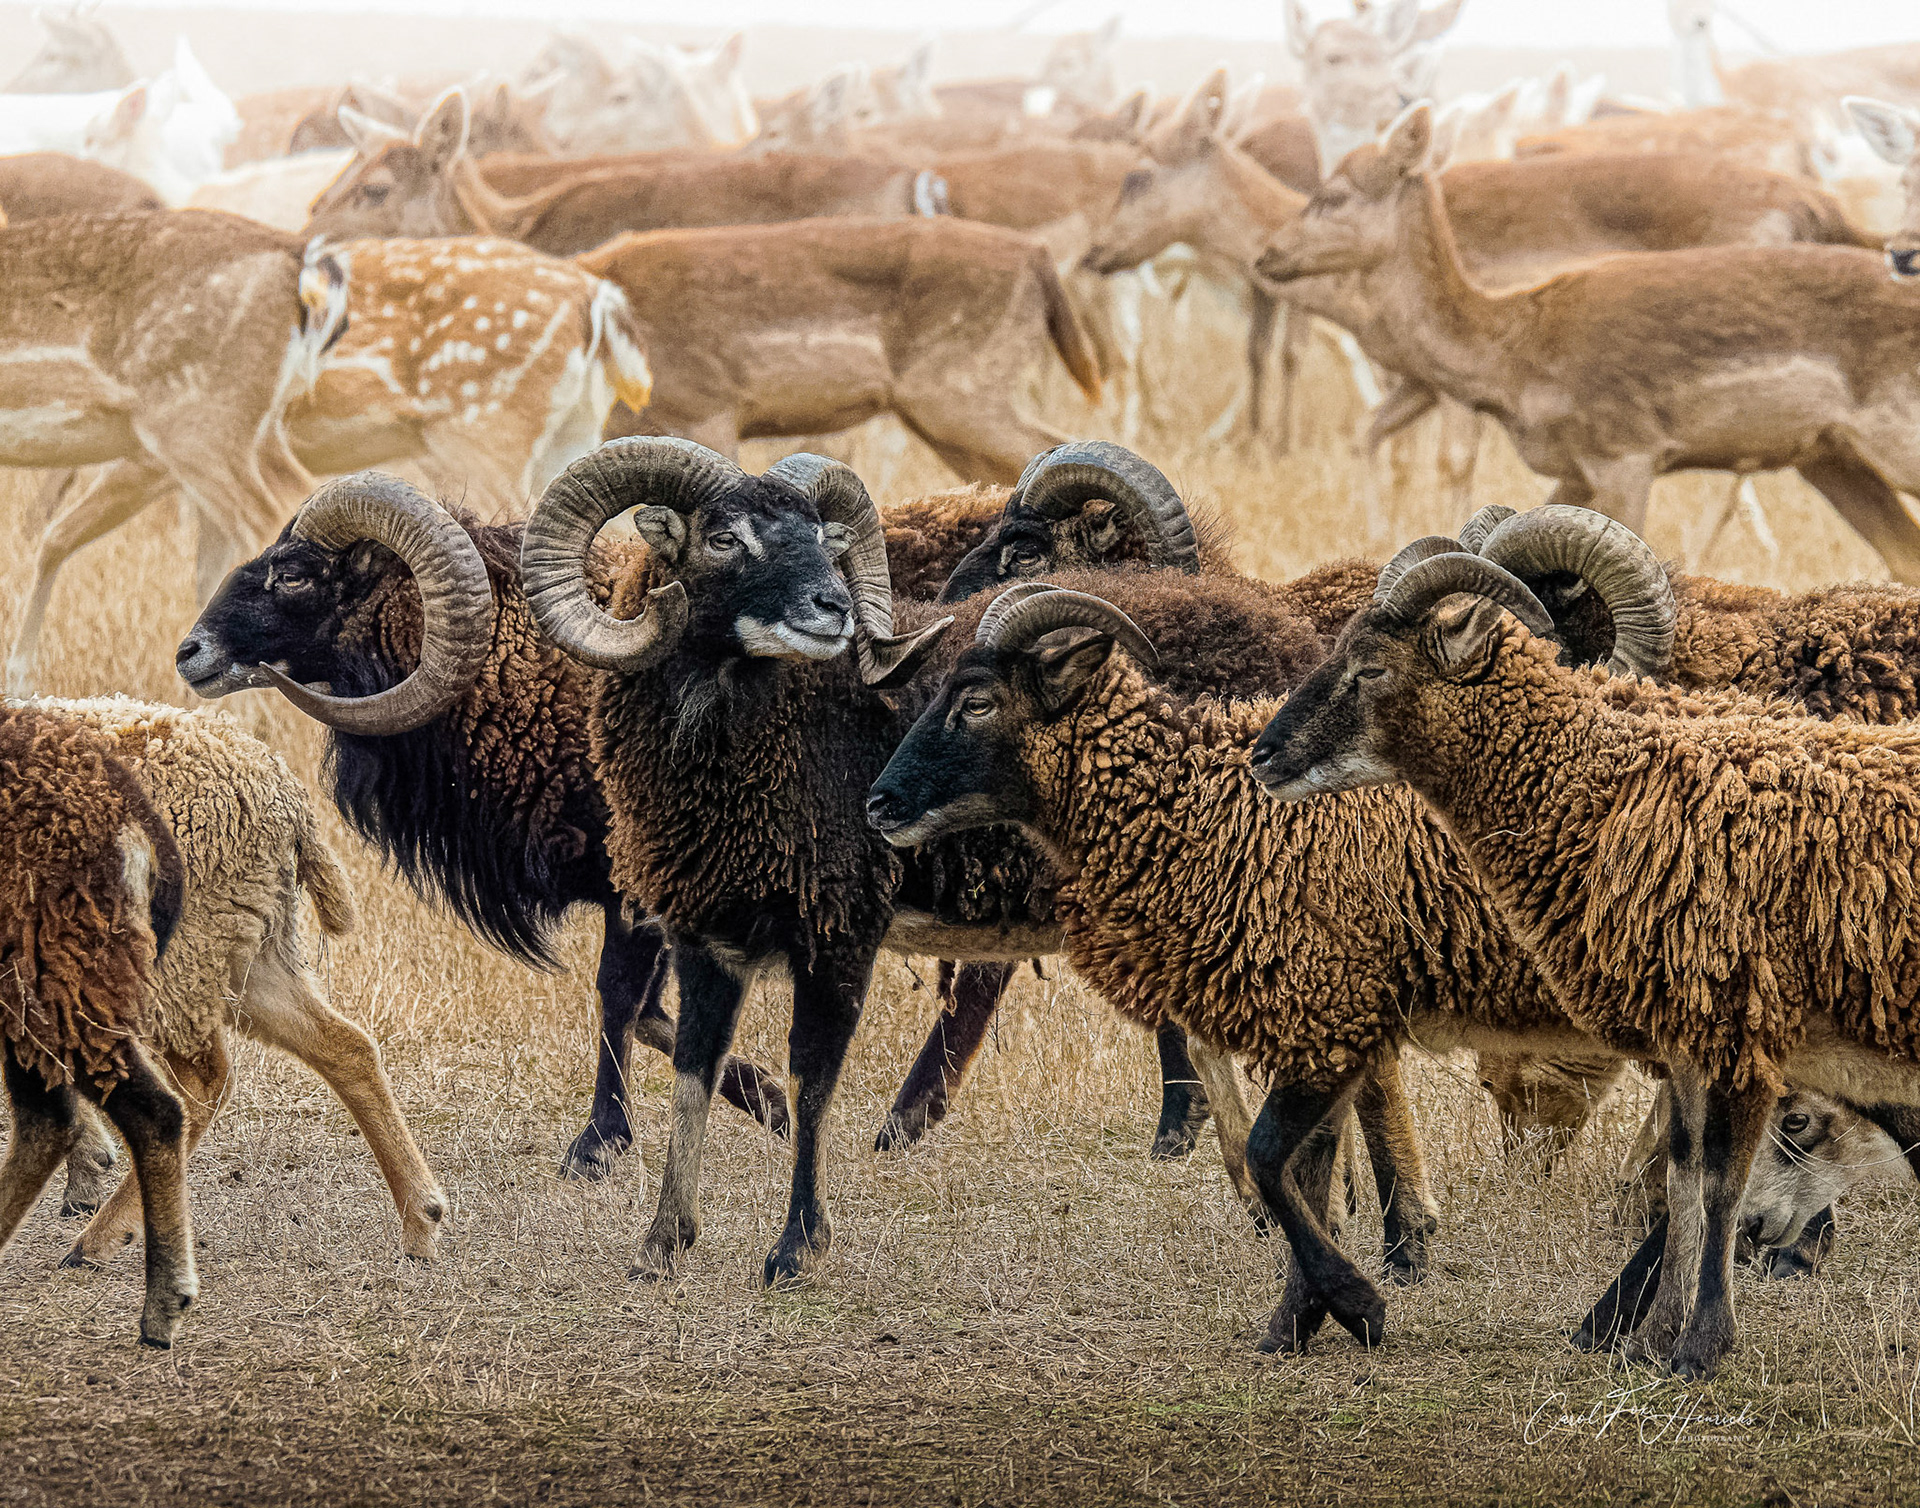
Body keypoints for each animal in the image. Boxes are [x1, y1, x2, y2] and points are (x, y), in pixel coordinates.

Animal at [21, 696, 449, 1265]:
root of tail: (284, 796)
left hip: (176, 959)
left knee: (205, 1084)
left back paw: (102, 1236)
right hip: (240, 949)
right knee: (344, 1045)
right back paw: (421, 1220)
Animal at [1249, 517, 1920, 1378]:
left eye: (1371, 669)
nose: (1264, 756)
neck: (1608, 792)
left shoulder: (1735, 1031)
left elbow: (1716, 1188)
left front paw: (1699, 1348)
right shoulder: (1687, 1037)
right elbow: (1684, 1181)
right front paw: (1654, 1340)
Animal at [1255, 103, 1920, 584]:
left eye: (1334, 194)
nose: (1268, 254)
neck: (1511, 352)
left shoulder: (1627, 454)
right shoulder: (1574, 466)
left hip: (1895, 442)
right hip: (1831, 458)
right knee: (1903, 558)